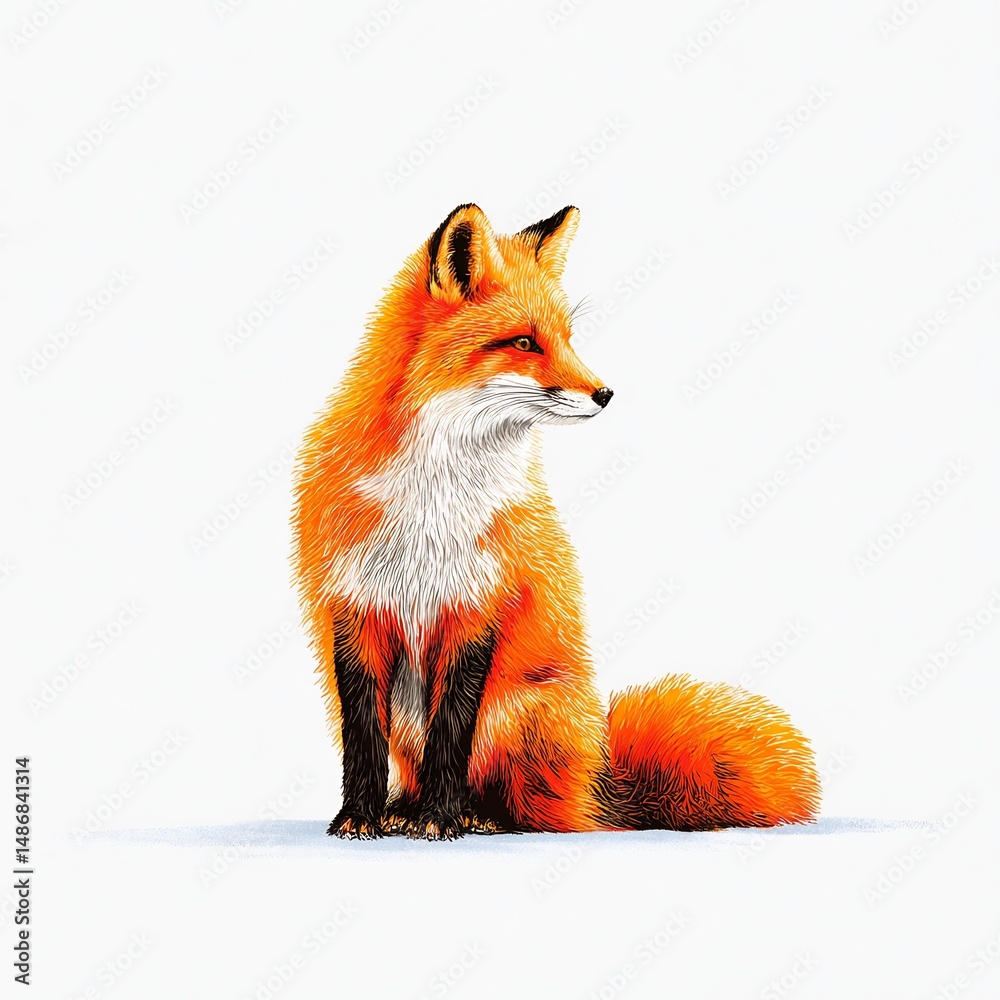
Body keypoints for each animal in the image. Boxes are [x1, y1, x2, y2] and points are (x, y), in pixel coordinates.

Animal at [292, 203, 820, 840]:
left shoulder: (479, 606)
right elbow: (362, 736)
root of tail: (603, 782)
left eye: (567, 339)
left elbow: (452, 732)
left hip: (521, 713)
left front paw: (441, 820)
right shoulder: (354, 606)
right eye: (525, 342)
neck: (432, 505)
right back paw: (404, 810)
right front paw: (359, 817)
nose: (606, 393)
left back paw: (472, 815)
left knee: (538, 812)